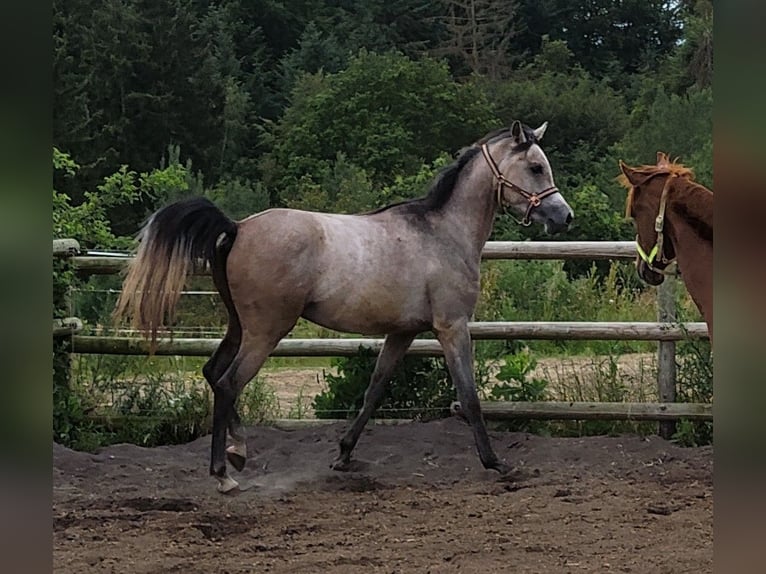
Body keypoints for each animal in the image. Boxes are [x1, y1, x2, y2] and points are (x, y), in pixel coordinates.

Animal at [115, 122, 576, 496]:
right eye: (536, 167)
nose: (564, 216)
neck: (442, 232)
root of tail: (238, 227)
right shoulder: (452, 326)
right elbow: (470, 396)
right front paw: (496, 462)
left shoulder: (402, 332)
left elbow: (374, 390)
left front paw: (343, 455)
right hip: (266, 331)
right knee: (229, 383)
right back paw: (224, 474)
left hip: (238, 326)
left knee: (212, 373)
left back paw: (238, 452)